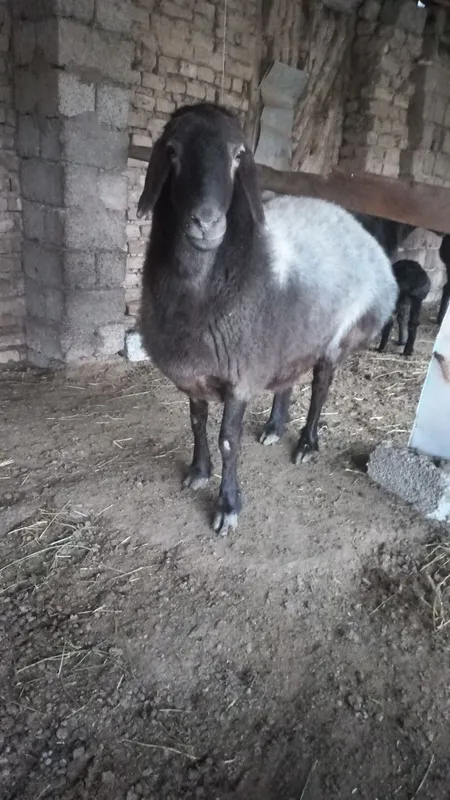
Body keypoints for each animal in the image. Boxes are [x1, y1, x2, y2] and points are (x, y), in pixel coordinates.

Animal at [137, 103, 398, 535]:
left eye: (238, 154)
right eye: (171, 151)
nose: (206, 223)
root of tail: (354, 224)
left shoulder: (241, 376)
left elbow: (228, 440)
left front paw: (227, 506)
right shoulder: (193, 374)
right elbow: (195, 422)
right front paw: (198, 471)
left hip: (337, 337)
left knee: (321, 388)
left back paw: (306, 443)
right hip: (288, 337)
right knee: (287, 380)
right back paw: (276, 427)